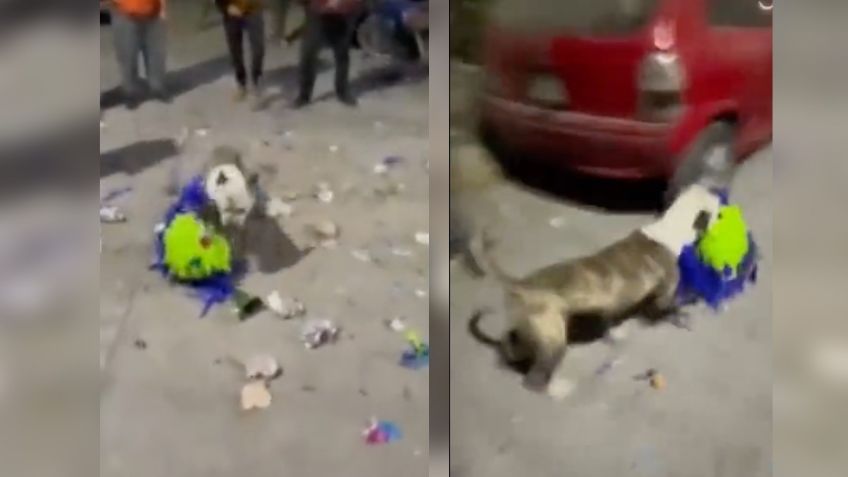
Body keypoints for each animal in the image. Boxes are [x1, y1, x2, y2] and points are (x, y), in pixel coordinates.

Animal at [470, 184, 724, 396]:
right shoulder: (666, 292)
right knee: (535, 378)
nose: (725, 200)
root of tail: (520, 282)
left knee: (514, 344)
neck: (670, 227)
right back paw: (557, 389)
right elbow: (671, 303)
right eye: (717, 210)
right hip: (553, 336)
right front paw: (689, 303)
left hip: (532, 326)